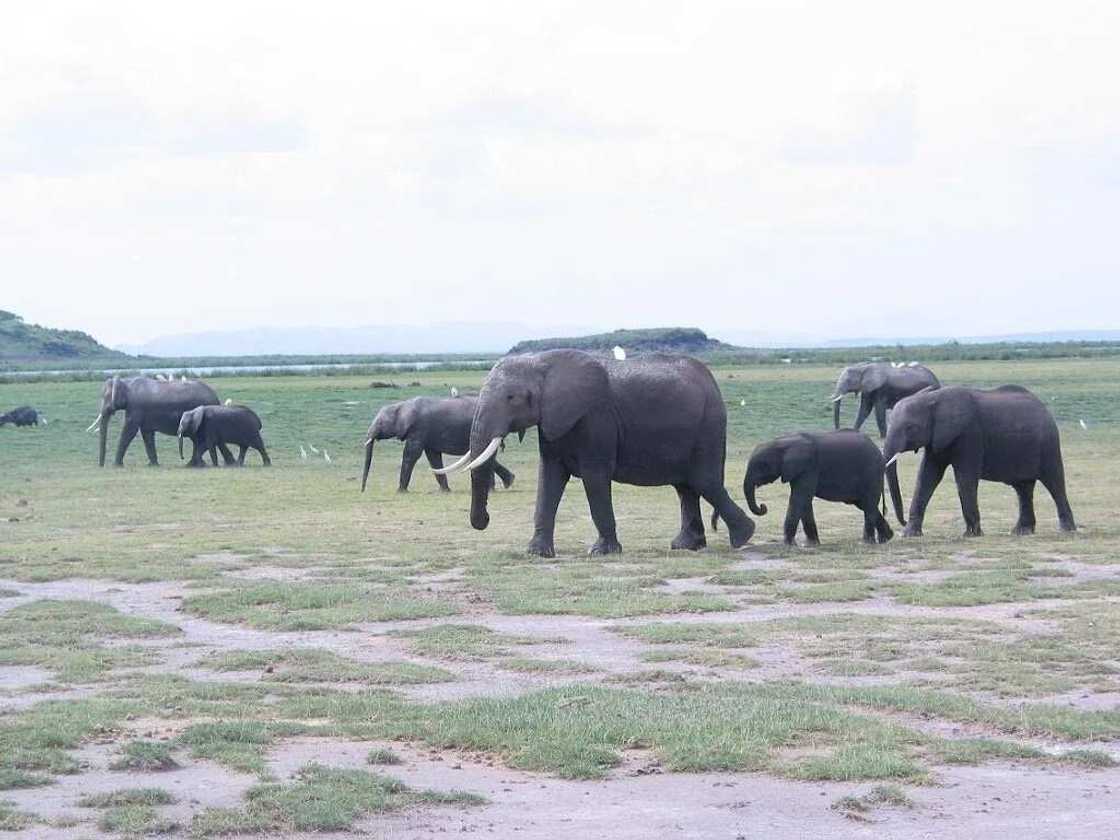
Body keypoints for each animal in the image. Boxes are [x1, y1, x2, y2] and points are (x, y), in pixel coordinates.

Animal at [90, 376, 232, 468]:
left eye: (106, 398)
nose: (101, 466)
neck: (126, 382)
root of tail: (216, 398)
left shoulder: (136, 407)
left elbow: (129, 431)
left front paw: (116, 465)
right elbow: (147, 434)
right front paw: (153, 465)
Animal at [360, 398, 512, 497]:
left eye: (380, 423)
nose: (362, 491)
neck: (402, 405)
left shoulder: (418, 429)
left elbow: (411, 454)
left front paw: (400, 492)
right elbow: (433, 457)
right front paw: (445, 491)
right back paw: (504, 484)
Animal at [441, 349, 757, 560]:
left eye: (511, 398)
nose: (485, 520)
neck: (542, 363)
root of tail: (713, 380)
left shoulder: (595, 420)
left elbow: (594, 478)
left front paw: (602, 552)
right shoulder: (553, 423)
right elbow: (549, 479)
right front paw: (537, 553)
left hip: (709, 425)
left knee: (704, 481)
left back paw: (743, 537)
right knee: (686, 487)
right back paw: (686, 546)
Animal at [739, 434, 904, 546]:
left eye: (762, 465)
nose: (763, 506)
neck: (785, 441)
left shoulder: (809, 468)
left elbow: (799, 499)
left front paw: (788, 544)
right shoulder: (799, 471)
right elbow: (804, 502)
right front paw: (811, 545)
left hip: (871, 473)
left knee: (868, 504)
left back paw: (867, 542)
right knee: (865, 504)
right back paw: (886, 538)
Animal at [882, 387, 1075, 539]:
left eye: (910, 427)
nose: (902, 521)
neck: (934, 399)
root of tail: (1045, 408)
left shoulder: (969, 435)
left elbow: (965, 478)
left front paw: (971, 535)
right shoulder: (937, 439)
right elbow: (927, 477)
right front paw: (910, 534)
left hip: (1049, 445)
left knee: (1054, 483)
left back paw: (1067, 530)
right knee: (1023, 489)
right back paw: (1022, 532)